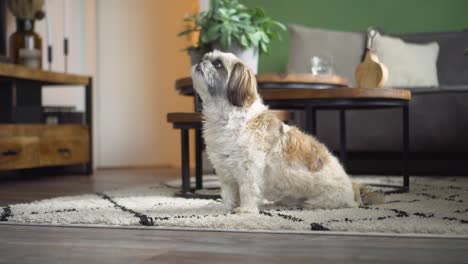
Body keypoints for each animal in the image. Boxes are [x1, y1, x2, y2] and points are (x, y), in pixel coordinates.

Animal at [192, 50, 382, 213]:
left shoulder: (248, 168)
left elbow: (247, 190)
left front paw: (245, 210)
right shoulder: (225, 171)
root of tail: (351, 186)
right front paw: (224, 209)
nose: (200, 62)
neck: (227, 117)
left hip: (325, 198)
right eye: (205, 58)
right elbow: (229, 194)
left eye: (218, 64)